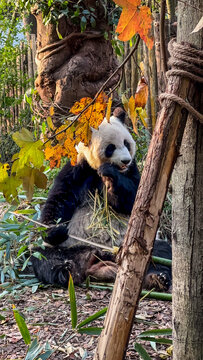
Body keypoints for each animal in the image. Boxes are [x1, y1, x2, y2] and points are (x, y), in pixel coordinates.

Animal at [31, 108, 171, 292]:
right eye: (111, 148)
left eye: (127, 143)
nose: (126, 160)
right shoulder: (77, 169)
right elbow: (59, 199)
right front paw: (56, 229)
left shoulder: (133, 171)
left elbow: (135, 201)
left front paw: (110, 177)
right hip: (69, 246)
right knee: (44, 258)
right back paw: (66, 270)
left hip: (133, 245)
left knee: (160, 253)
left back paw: (157, 279)